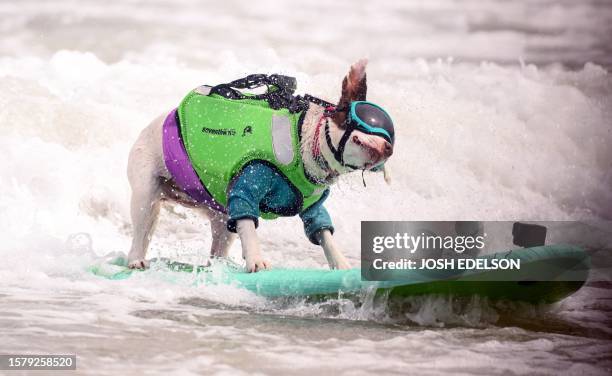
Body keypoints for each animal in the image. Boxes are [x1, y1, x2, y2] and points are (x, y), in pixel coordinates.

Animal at [126, 58, 394, 270]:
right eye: (360, 133)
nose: (388, 147)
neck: (304, 138)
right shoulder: (247, 185)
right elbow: (248, 222)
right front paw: (256, 260)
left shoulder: (313, 207)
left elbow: (323, 231)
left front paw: (341, 264)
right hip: (146, 192)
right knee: (142, 230)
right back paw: (136, 260)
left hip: (220, 217)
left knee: (219, 244)